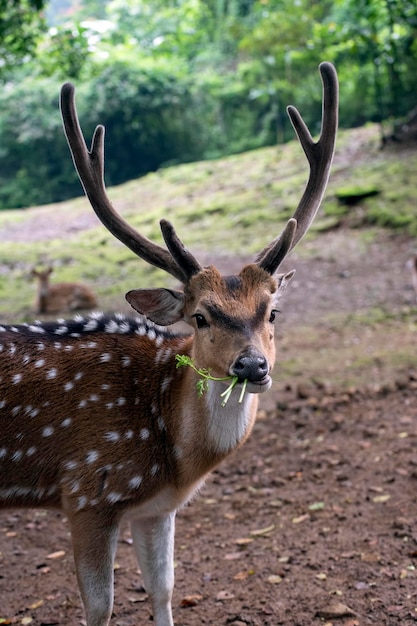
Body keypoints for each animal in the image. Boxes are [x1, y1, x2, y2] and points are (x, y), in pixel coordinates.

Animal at [0, 59, 336, 624]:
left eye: (273, 311)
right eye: (199, 317)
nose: (252, 367)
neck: (172, 458)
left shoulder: (155, 509)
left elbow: (163, 588)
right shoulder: (86, 492)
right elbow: (100, 608)